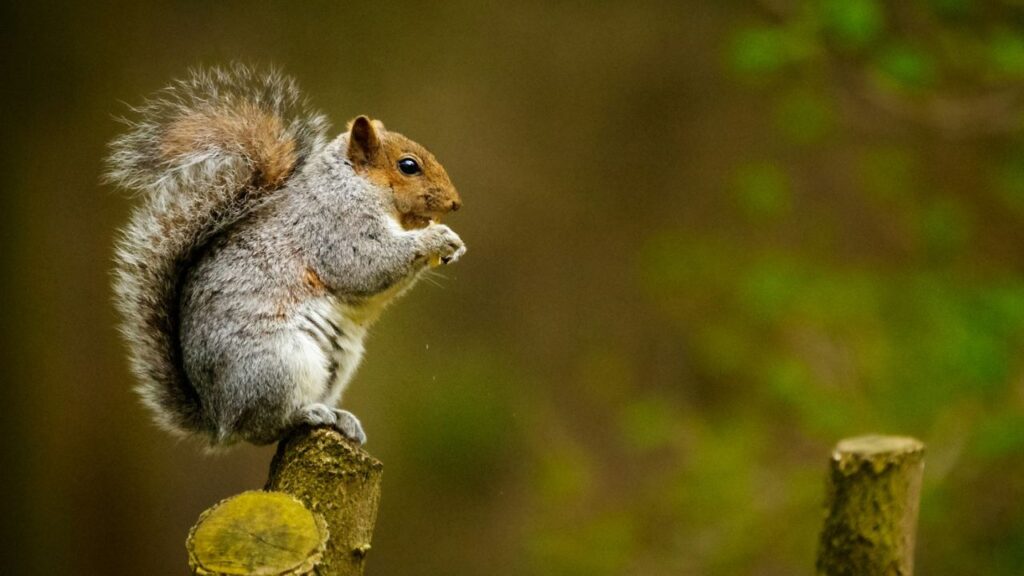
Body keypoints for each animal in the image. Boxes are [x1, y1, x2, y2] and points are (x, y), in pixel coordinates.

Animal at [107, 64, 465, 447]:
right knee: (264, 427)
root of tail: (218, 418)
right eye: (408, 166)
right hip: (280, 363)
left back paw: (341, 418)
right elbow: (367, 265)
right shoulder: (335, 227)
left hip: (336, 365)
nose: (455, 203)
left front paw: (452, 244)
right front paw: (436, 238)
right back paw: (308, 414)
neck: (353, 183)